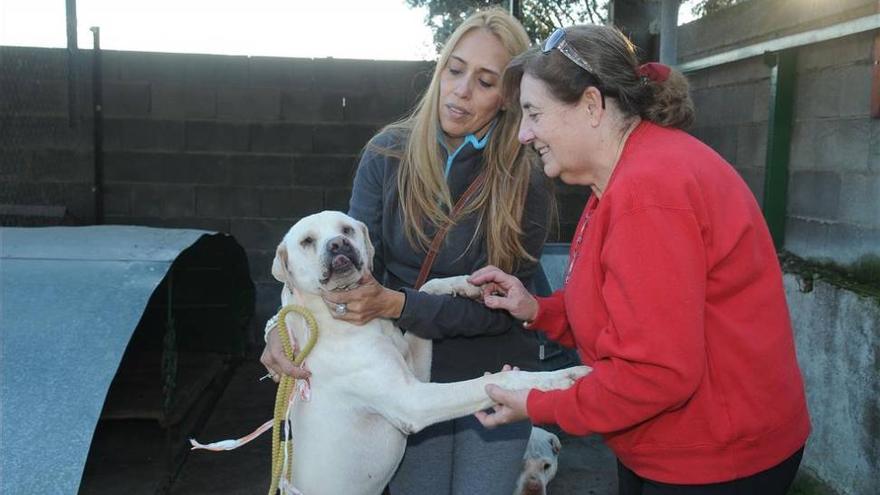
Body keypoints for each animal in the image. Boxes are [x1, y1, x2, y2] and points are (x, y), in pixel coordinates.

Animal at [274, 211, 592, 494]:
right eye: (307, 241)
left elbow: (427, 289)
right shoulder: (413, 402)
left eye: (346, 229)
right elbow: (492, 381)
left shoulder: (417, 372)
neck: (335, 317)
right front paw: (560, 378)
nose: (339, 244)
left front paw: (465, 285)